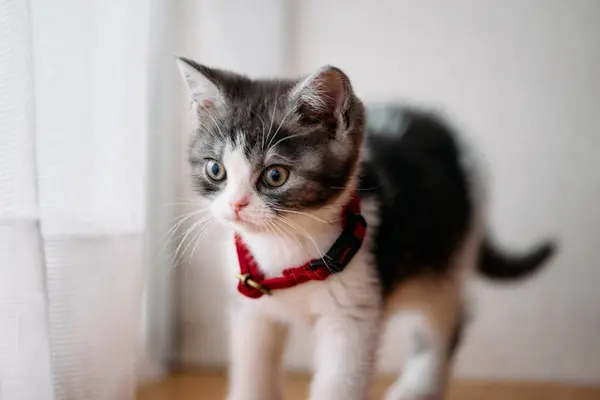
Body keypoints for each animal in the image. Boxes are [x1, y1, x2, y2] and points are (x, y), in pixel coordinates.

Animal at [177, 57, 552, 400]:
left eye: (275, 175)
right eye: (215, 170)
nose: (235, 205)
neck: (286, 245)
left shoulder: (354, 316)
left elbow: (339, 385)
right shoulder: (251, 313)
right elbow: (252, 373)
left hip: (447, 254)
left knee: (448, 318)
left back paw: (418, 388)